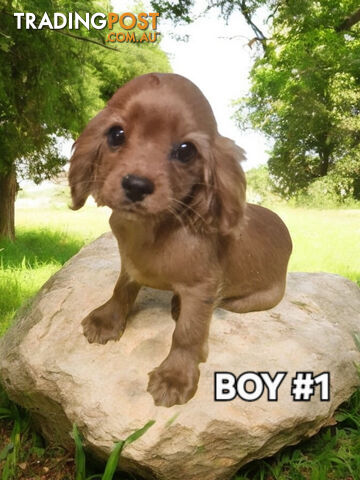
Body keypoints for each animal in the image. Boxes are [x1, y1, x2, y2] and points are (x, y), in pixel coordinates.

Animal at [68, 73, 292, 406]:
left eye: (186, 150)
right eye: (116, 134)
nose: (136, 185)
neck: (154, 229)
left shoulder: (202, 288)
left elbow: (188, 333)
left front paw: (175, 376)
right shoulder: (130, 264)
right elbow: (122, 288)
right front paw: (107, 319)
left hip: (255, 299)